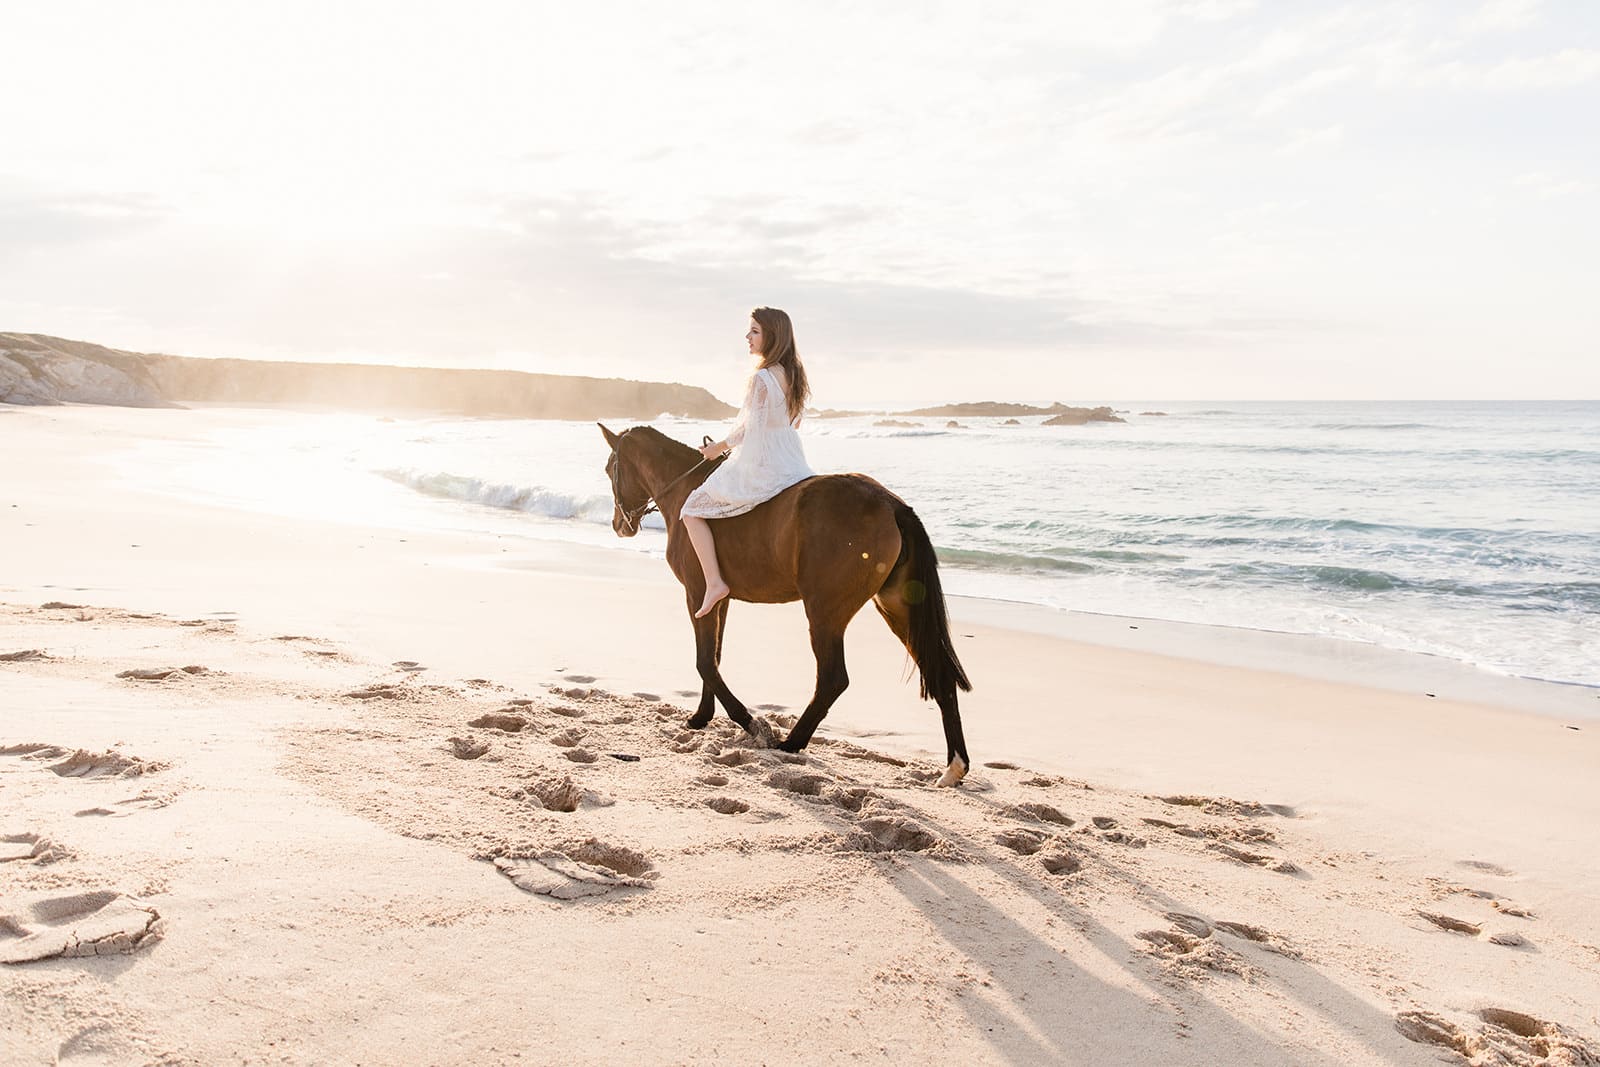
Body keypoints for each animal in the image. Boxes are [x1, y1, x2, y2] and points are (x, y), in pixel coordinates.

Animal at [601, 422, 966, 783]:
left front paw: (750, 723)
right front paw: (701, 716)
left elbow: (704, 661)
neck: (686, 490)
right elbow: (714, 658)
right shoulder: (718, 600)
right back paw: (954, 766)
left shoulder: (696, 594)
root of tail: (890, 503)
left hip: (824, 614)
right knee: (939, 671)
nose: (619, 525)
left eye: (609, 468)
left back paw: (791, 743)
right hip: (898, 609)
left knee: (833, 679)